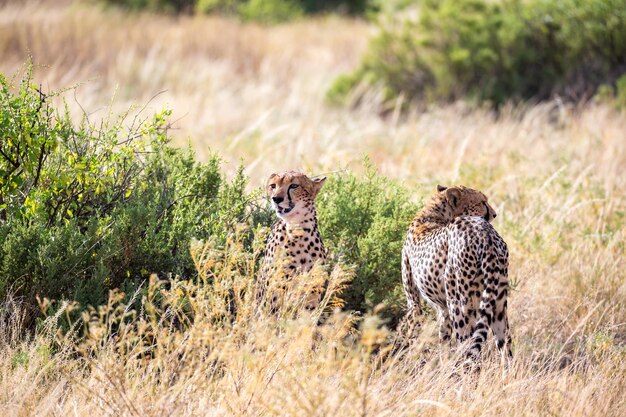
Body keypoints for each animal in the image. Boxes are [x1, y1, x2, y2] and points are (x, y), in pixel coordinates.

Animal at [400, 185, 512, 364]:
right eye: (482, 202)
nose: (494, 214)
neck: (434, 214)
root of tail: (485, 234)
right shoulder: (443, 309)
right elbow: (444, 338)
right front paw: (443, 362)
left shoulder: (414, 302)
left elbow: (410, 333)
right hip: (498, 305)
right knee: (506, 347)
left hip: (460, 304)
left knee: (469, 348)